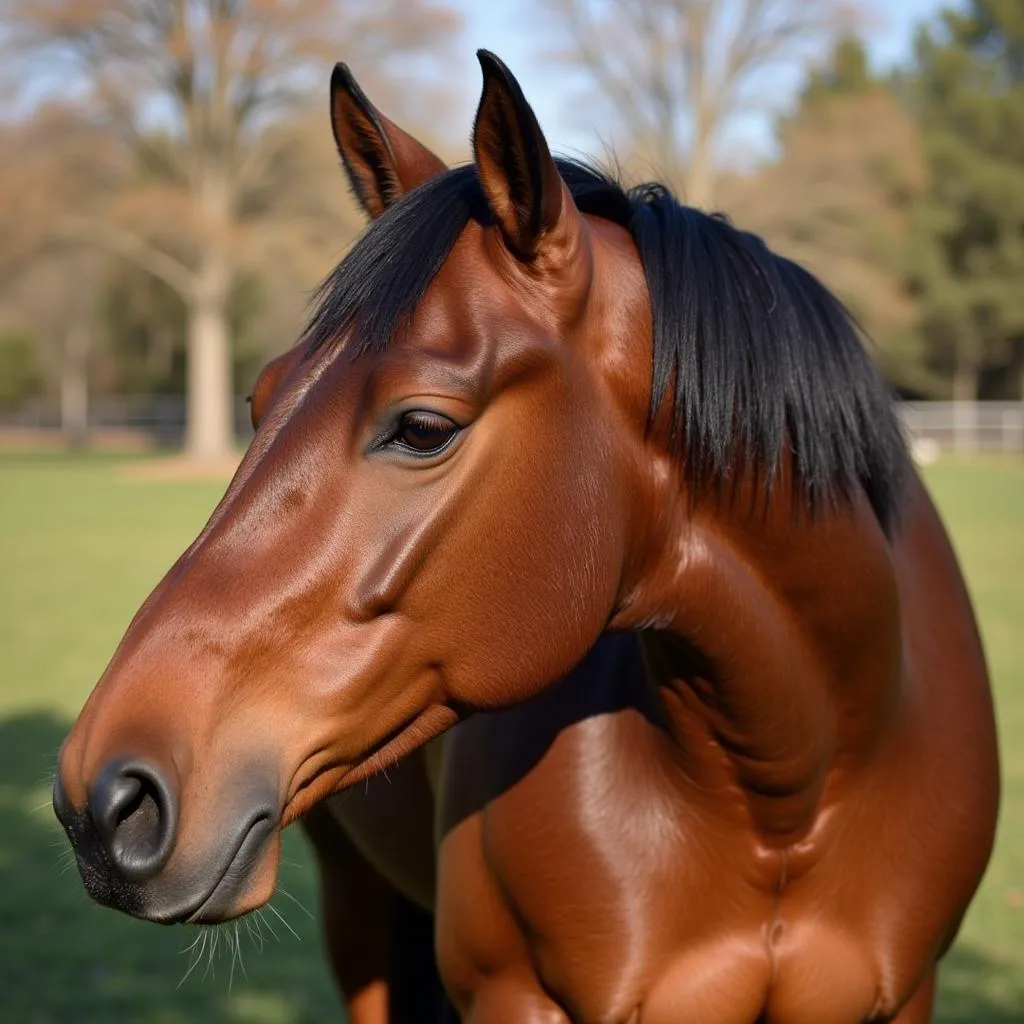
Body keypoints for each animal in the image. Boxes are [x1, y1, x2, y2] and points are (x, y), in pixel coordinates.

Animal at [51, 49, 995, 1024]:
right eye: (258, 398)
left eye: (423, 427)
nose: (105, 797)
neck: (792, 788)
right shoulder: (514, 994)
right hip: (359, 905)